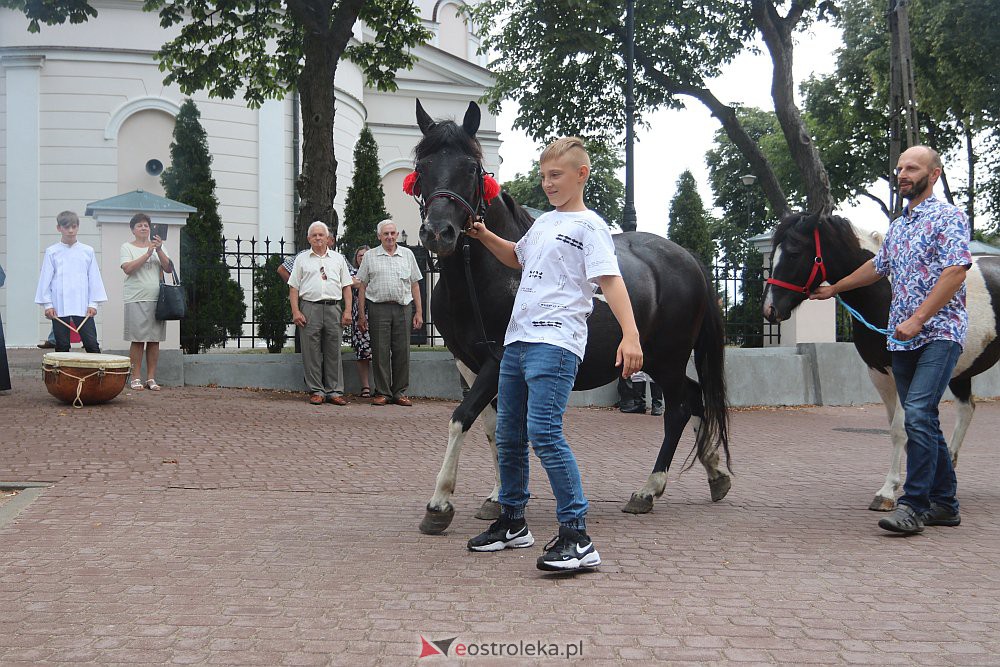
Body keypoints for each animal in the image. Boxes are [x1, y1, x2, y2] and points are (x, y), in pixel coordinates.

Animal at [414, 100, 736, 536]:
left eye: (470, 167)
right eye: (422, 164)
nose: (438, 233)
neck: (485, 276)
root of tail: (688, 258)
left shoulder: (499, 359)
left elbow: (462, 418)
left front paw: (440, 503)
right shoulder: (467, 363)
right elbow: (492, 427)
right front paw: (497, 497)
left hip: (668, 358)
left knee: (680, 409)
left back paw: (649, 490)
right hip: (656, 358)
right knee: (697, 397)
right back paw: (715, 473)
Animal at [764, 213, 1000, 512]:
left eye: (794, 253)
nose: (770, 309)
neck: (884, 295)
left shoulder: (902, 372)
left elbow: (901, 430)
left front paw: (887, 492)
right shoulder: (879, 374)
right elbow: (898, 431)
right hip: (959, 373)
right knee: (966, 409)